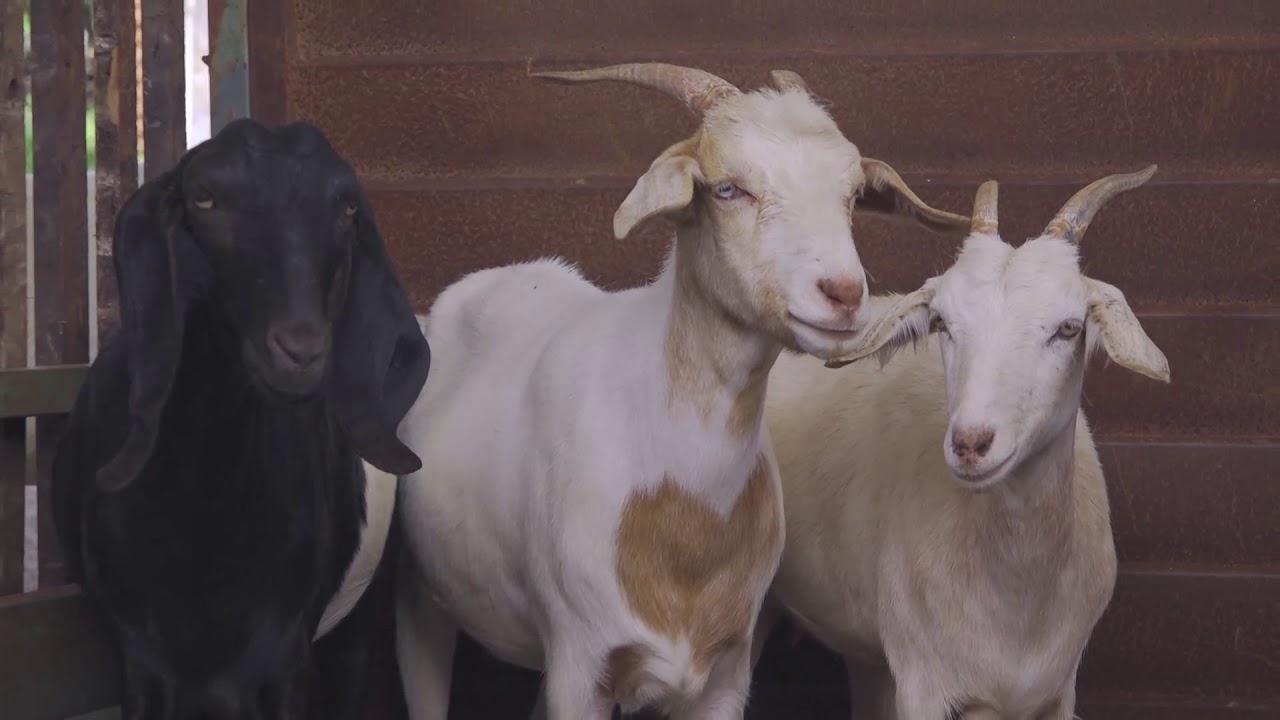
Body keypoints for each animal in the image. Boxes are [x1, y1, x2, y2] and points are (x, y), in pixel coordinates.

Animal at [50, 118, 431, 719]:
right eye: (204, 197)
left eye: (348, 206)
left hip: (358, 618)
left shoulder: (278, 660)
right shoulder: (140, 660)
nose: (301, 352)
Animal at [393, 62, 971, 720]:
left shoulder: (725, 671)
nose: (844, 294)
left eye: (851, 195)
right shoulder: (578, 663)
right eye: (728, 189)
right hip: (420, 596)